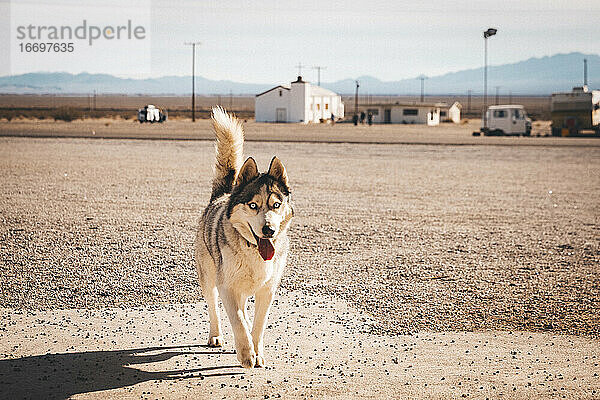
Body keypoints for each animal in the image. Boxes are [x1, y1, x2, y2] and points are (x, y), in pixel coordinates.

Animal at [195, 106, 292, 368]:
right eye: (253, 205)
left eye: (276, 205)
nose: (268, 230)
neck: (253, 251)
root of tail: (222, 195)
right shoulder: (227, 286)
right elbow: (236, 319)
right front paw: (246, 353)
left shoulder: (267, 290)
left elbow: (258, 324)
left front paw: (256, 352)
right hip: (209, 279)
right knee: (214, 309)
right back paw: (216, 336)